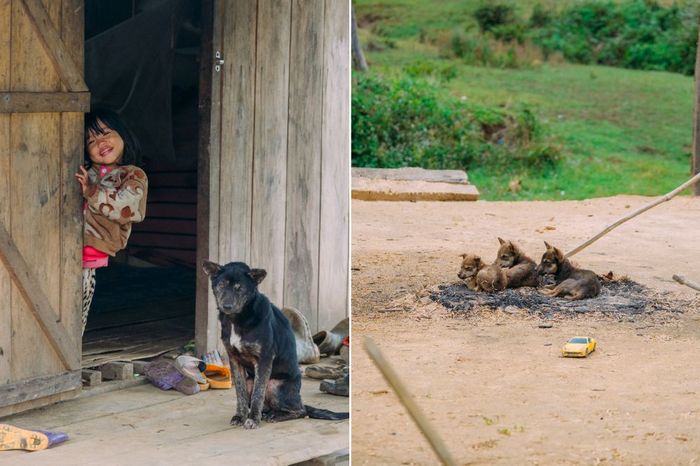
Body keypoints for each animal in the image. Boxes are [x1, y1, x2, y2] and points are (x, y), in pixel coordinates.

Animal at [202, 260, 348, 428]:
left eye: (240, 288)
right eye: (221, 285)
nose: (227, 306)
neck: (237, 319)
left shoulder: (264, 359)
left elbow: (258, 393)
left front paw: (253, 419)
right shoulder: (234, 360)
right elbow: (240, 392)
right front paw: (240, 416)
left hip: (276, 386)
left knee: (301, 411)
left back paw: (275, 416)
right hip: (251, 381)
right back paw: (267, 413)